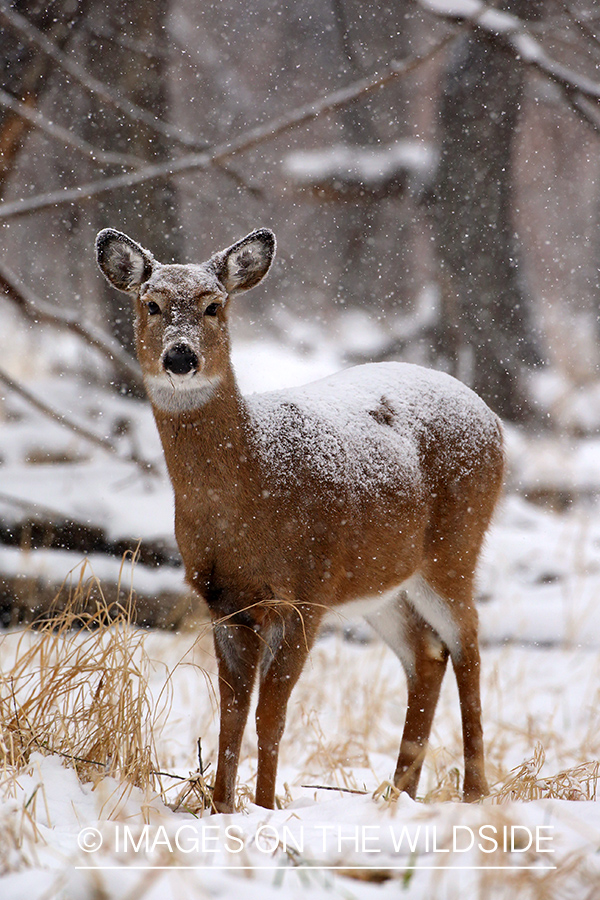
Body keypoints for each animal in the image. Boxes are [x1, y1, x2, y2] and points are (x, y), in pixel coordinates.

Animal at [96, 229, 504, 812]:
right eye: (150, 303)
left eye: (214, 305)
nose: (180, 355)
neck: (251, 492)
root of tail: (493, 420)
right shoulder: (225, 600)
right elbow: (230, 715)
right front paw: (220, 807)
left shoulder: (306, 591)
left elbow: (271, 715)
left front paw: (264, 808)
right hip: (382, 584)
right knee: (427, 654)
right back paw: (396, 793)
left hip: (455, 546)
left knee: (468, 644)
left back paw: (474, 792)